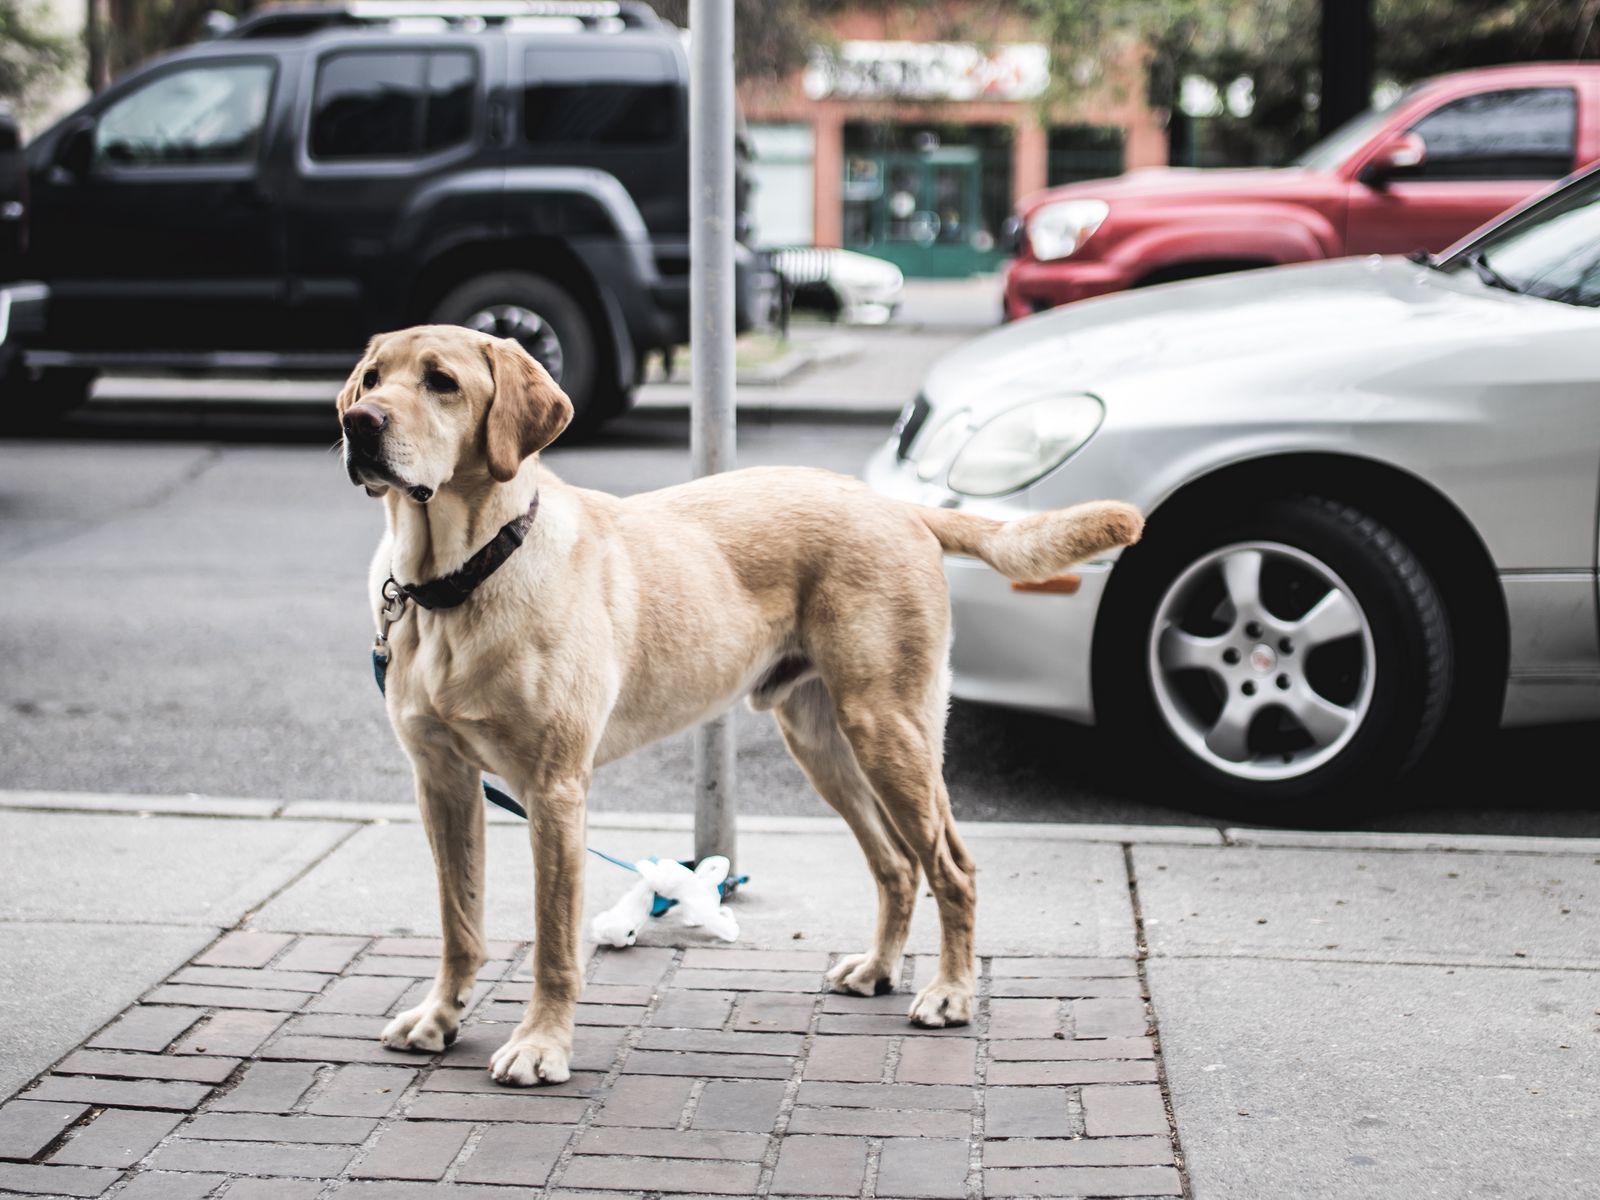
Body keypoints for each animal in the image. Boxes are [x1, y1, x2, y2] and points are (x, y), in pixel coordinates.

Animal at [337, 326, 1139, 1088]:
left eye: (442, 382)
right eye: (373, 379)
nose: (356, 422)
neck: (456, 582)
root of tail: (894, 504)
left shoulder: (554, 790)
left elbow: (554, 942)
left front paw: (541, 1046)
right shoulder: (443, 783)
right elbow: (459, 921)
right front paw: (440, 1017)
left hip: (890, 730)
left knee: (952, 867)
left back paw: (950, 992)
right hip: (824, 743)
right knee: (895, 866)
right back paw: (879, 969)